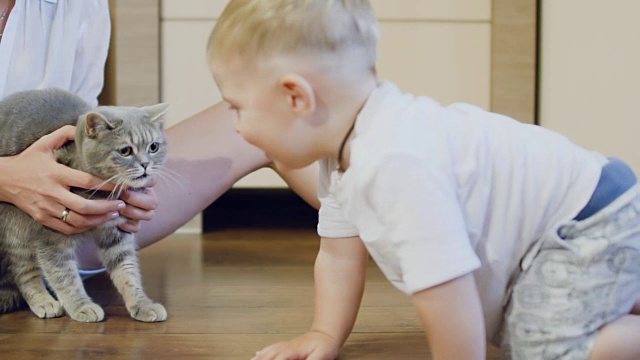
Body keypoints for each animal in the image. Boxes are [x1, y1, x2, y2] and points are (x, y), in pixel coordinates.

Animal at [0, 88, 169, 322]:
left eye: (153, 147)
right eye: (125, 151)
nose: (146, 164)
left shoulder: (116, 233)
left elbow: (127, 271)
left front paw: (141, 304)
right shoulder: (51, 238)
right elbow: (63, 275)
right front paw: (81, 306)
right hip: (15, 230)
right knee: (23, 271)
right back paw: (43, 301)